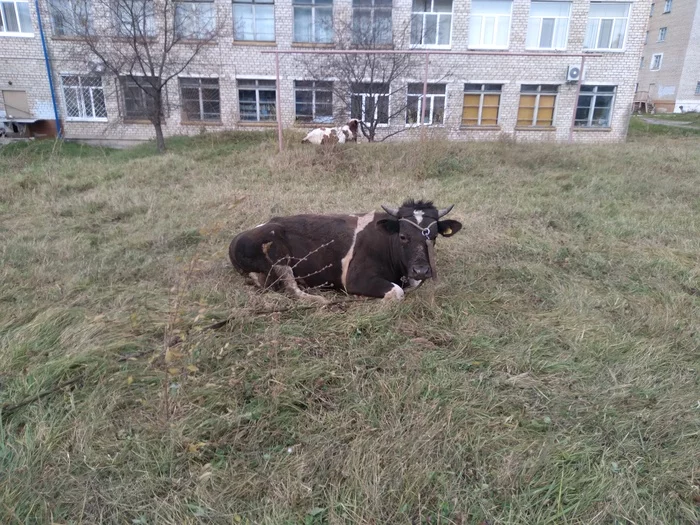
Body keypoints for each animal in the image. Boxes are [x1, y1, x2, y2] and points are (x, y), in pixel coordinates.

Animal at [227, 199, 462, 300]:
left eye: (433, 237)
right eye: (403, 236)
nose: (421, 270)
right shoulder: (354, 278)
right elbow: (397, 292)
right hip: (277, 251)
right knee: (293, 289)